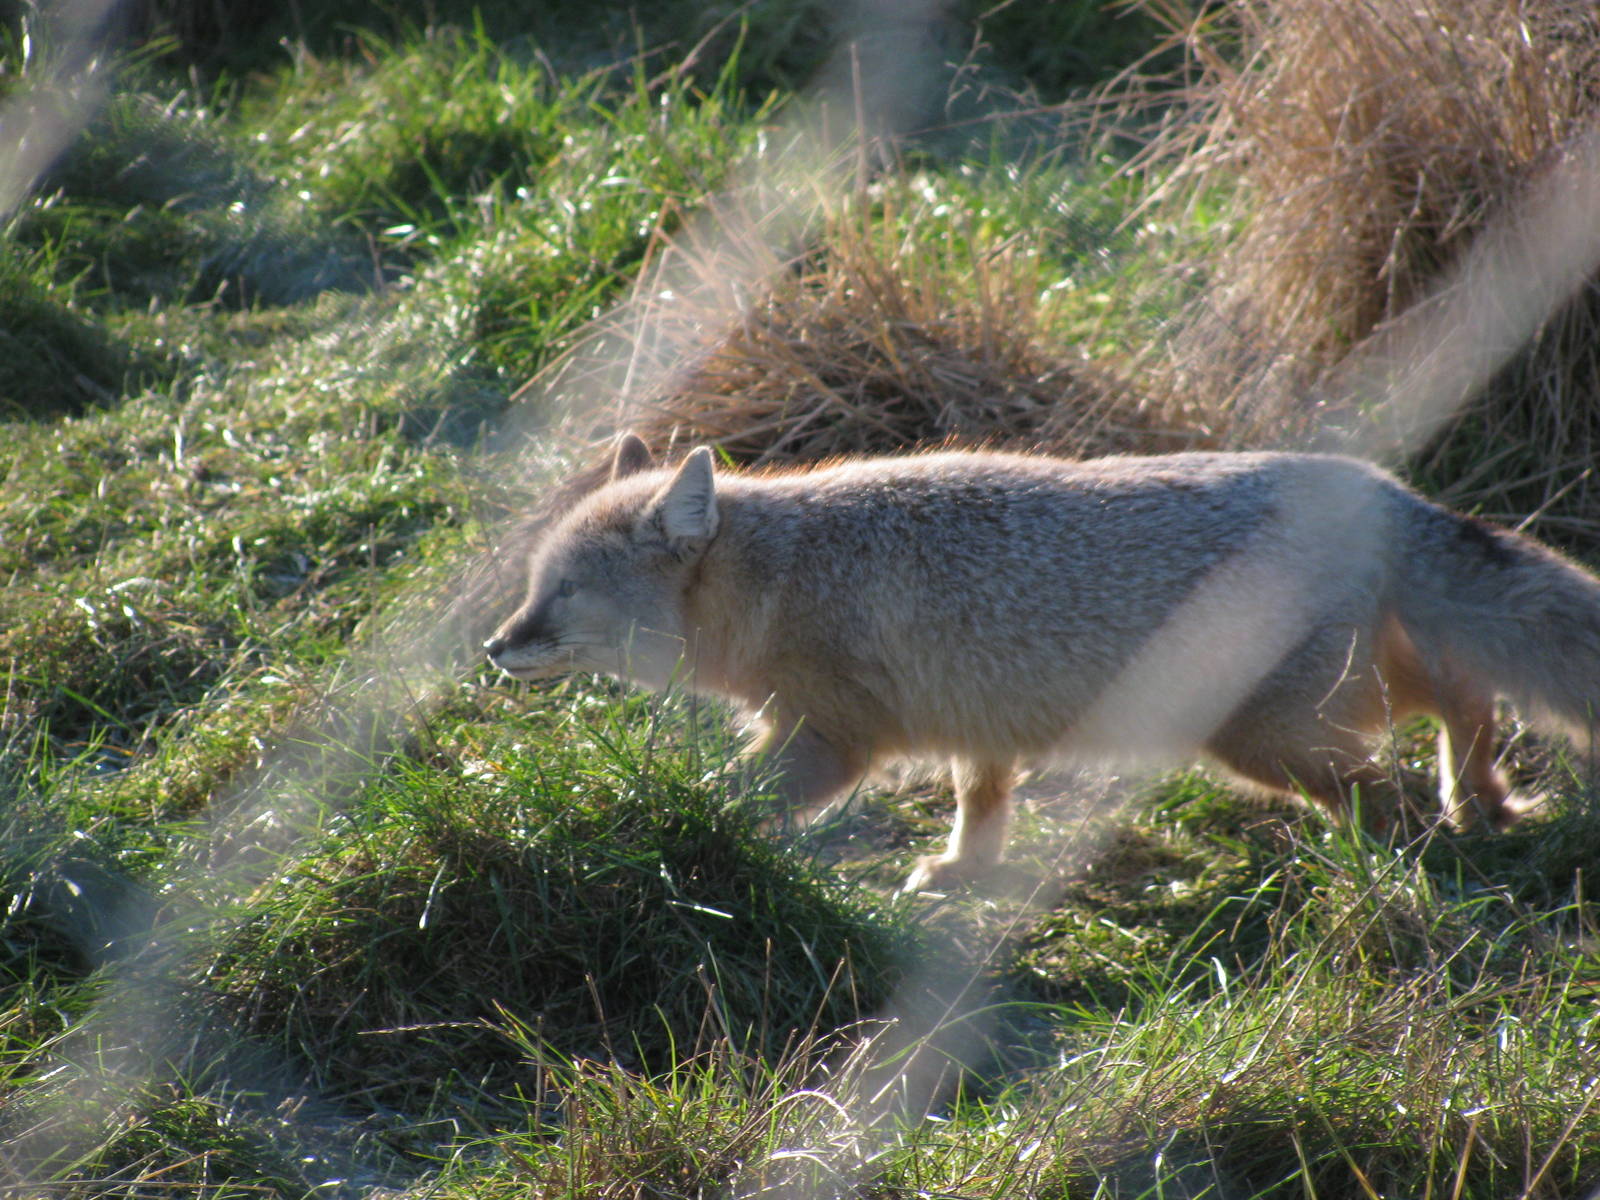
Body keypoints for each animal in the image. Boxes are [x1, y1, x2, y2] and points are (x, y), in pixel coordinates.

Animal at [484, 434, 1600, 889]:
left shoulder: (832, 737)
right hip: (1343, 701)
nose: (497, 646)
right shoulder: (975, 723)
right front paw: (962, 873)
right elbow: (982, 803)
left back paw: (1411, 860)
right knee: (1467, 696)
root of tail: (1375, 484)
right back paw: (1484, 799)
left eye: (563, 593)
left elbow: (723, 797)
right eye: (532, 587)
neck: (783, 573)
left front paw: (643, 826)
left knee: (1395, 795)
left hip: (1270, 738)